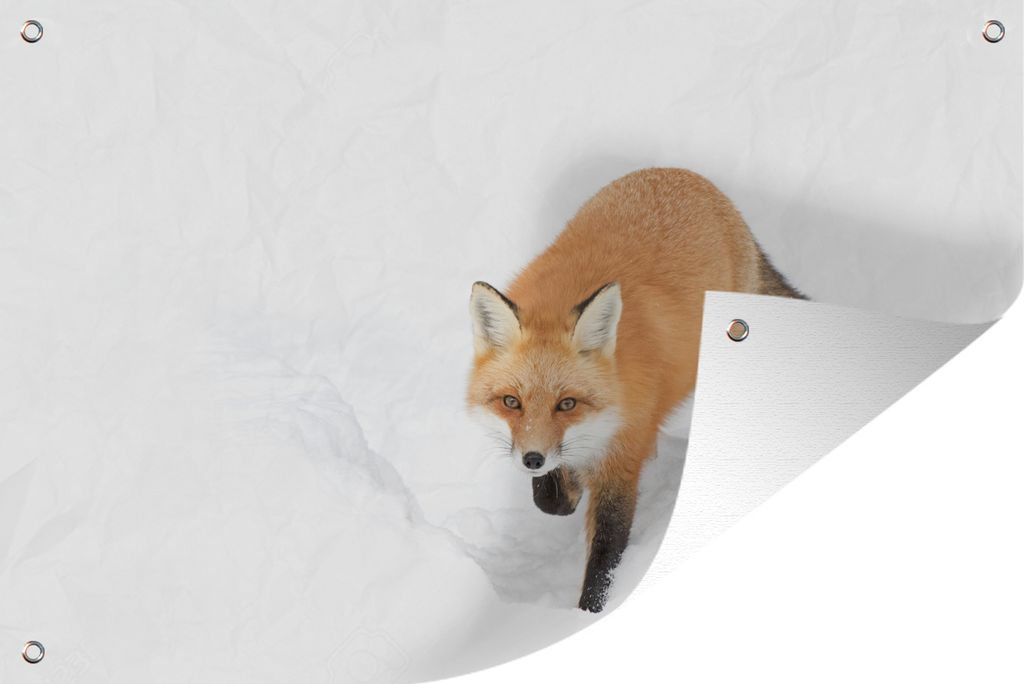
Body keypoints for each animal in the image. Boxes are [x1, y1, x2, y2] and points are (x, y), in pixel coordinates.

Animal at [467, 168, 804, 613]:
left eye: (567, 403)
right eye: (511, 402)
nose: (532, 459)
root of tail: (686, 175)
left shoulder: (623, 459)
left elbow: (607, 554)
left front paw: (589, 617)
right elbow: (552, 500)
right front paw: (564, 488)